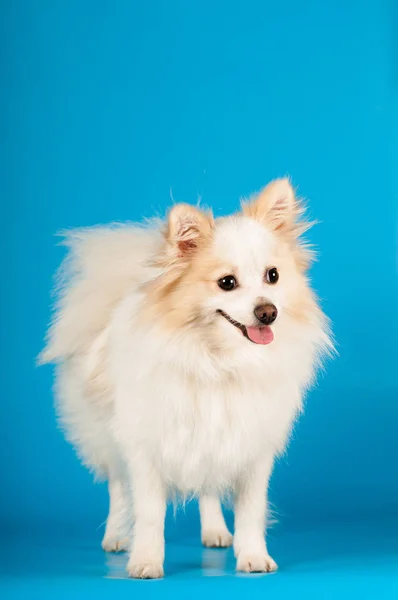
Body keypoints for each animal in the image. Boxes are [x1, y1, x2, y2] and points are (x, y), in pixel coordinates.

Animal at [41, 177, 332, 576]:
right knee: (117, 486)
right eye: (227, 283)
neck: (221, 360)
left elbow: (251, 511)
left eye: (272, 276)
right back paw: (116, 536)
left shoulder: (249, 447)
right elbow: (149, 513)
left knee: (208, 490)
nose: (268, 312)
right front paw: (146, 561)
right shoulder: (147, 447)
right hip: (106, 434)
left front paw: (253, 556)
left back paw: (215, 531)